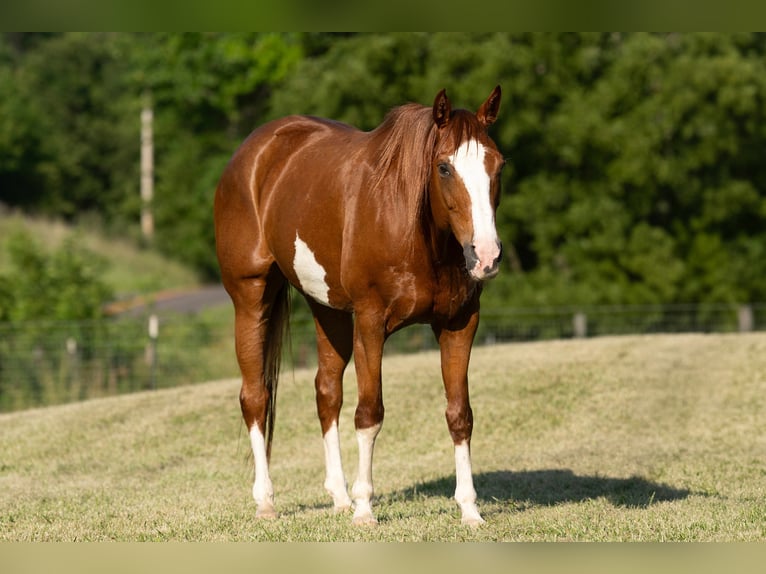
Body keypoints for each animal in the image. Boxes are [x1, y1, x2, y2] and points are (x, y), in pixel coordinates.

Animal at [214, 86, 504, 526]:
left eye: (498, 165)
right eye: (444, 167)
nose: (485, 255)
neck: (412, 229)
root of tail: (252, 153)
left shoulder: (459, 325)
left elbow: (460, 415)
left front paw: (469, 509)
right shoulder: (370, 323)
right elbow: (369, 414)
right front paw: (366, 507)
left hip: (328, 308)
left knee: (326, 392)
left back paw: (338, 495)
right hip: (250, 297)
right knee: (255, 397)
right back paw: (266, 501)